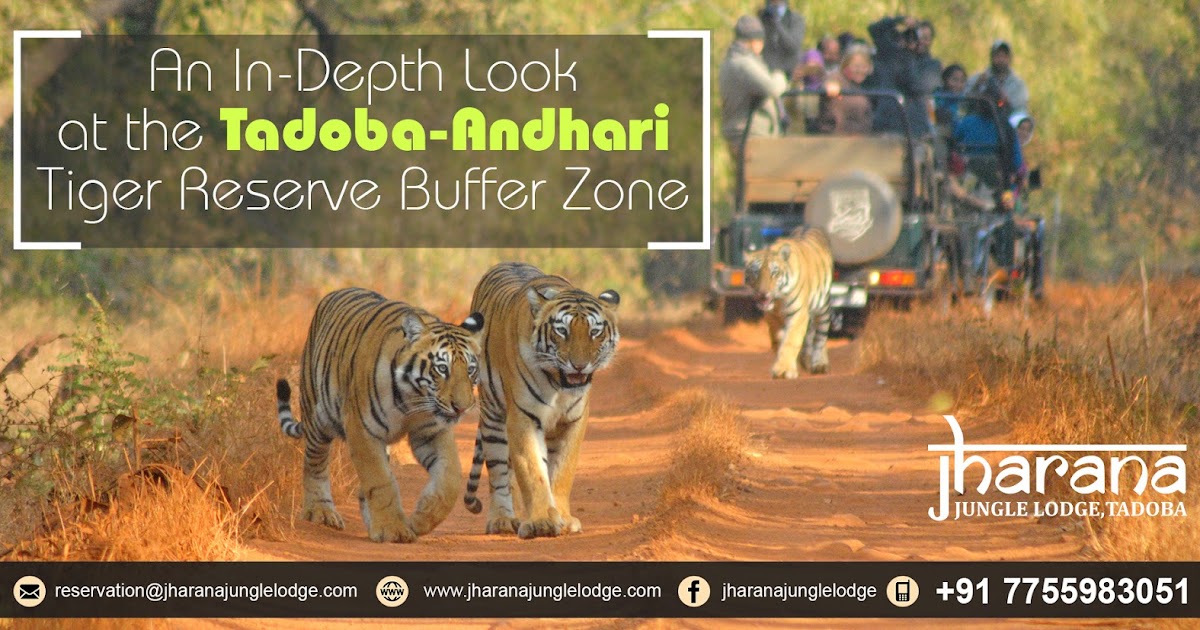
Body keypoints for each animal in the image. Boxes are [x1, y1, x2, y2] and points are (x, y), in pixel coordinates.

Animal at [275, 287, 484, 543]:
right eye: (442, 368)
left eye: (471, 370)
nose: (462, 407)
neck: (413, 398)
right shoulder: (363, 430)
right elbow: (379, 480)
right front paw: (393, 529)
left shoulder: (431, 431)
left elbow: (450, 478)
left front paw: (421, 519)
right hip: (318, 417)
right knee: (315, 464)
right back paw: (320, 511)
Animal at [461, 262, 620, 539]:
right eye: (562, 331)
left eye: (595, 332)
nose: (579, 365)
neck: (559, 385)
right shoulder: (523, 418)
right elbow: (532, 471)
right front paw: (541, 522)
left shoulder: (573, 421)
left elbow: (562, 471)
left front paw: (563, 519)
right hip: (493, 418)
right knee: (500, 473)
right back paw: (503, 519)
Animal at [743, 226, 834, 379]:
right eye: (756, 272)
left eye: (774, 273)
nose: (763, 293)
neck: (778, 300)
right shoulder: (772, 318)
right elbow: (779, 340)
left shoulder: (798, 314)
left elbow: (790, 341)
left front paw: (784, 370)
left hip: (823, 308)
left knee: (820, 336)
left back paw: (819, 364)